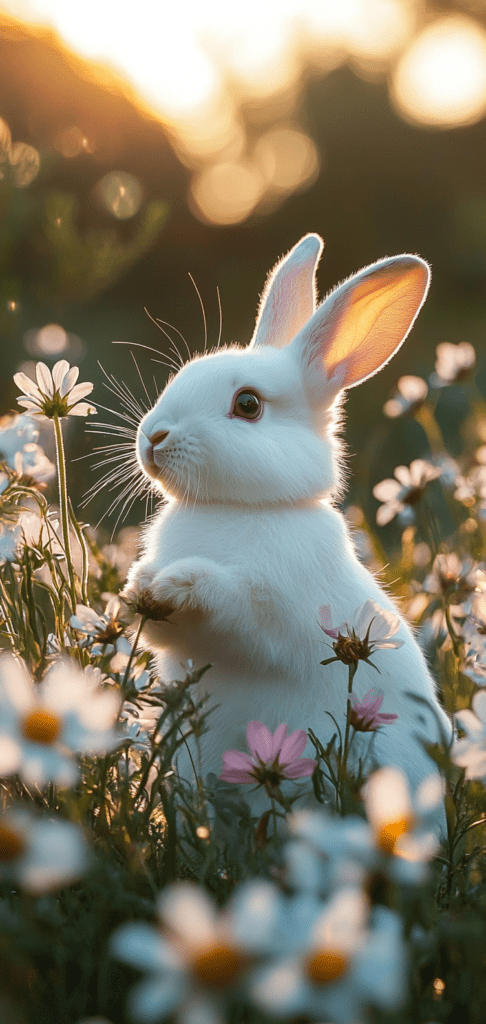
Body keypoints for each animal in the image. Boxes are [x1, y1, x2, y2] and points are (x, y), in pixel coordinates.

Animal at [123, 234, 450, 798]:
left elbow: (236, 609)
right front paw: (138, 586)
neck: (236, 508)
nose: (153, 438)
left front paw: (177, 584)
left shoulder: (272, 611)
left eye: (248, 405)